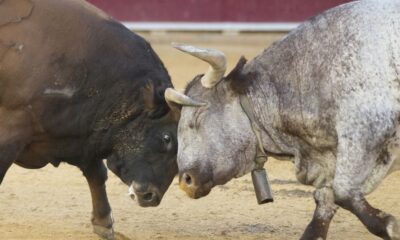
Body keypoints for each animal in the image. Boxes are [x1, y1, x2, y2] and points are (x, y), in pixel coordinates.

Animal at [0, 0, 178, 238]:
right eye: (167, 138)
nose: (151, 197)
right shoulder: (11, 130)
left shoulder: (84, 135)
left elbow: (96, 173)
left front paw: (104, 223)